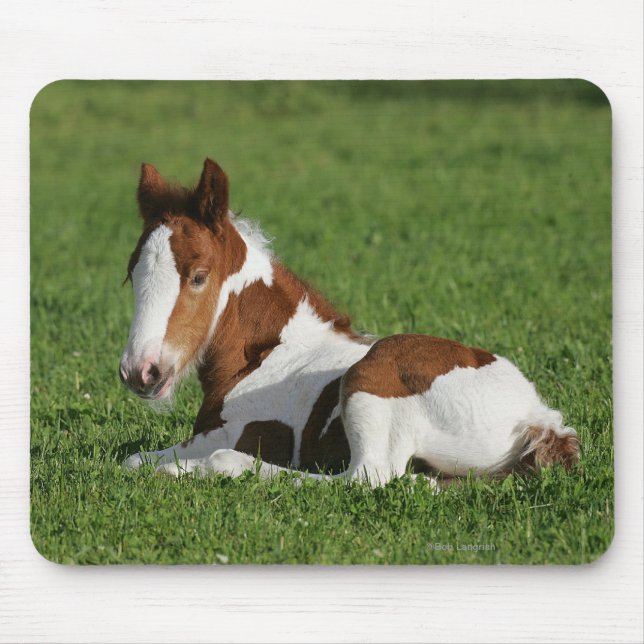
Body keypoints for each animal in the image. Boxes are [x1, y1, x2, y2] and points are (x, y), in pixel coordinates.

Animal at [120, 158, 580, 486]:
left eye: (198, 276)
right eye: (131, 274)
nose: (141, 372)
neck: (267, 355)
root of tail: (538, 418)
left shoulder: (232, 432)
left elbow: (146, 459)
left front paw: (183, 468)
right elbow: (132, 459)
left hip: (372, 375)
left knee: (365, 477)